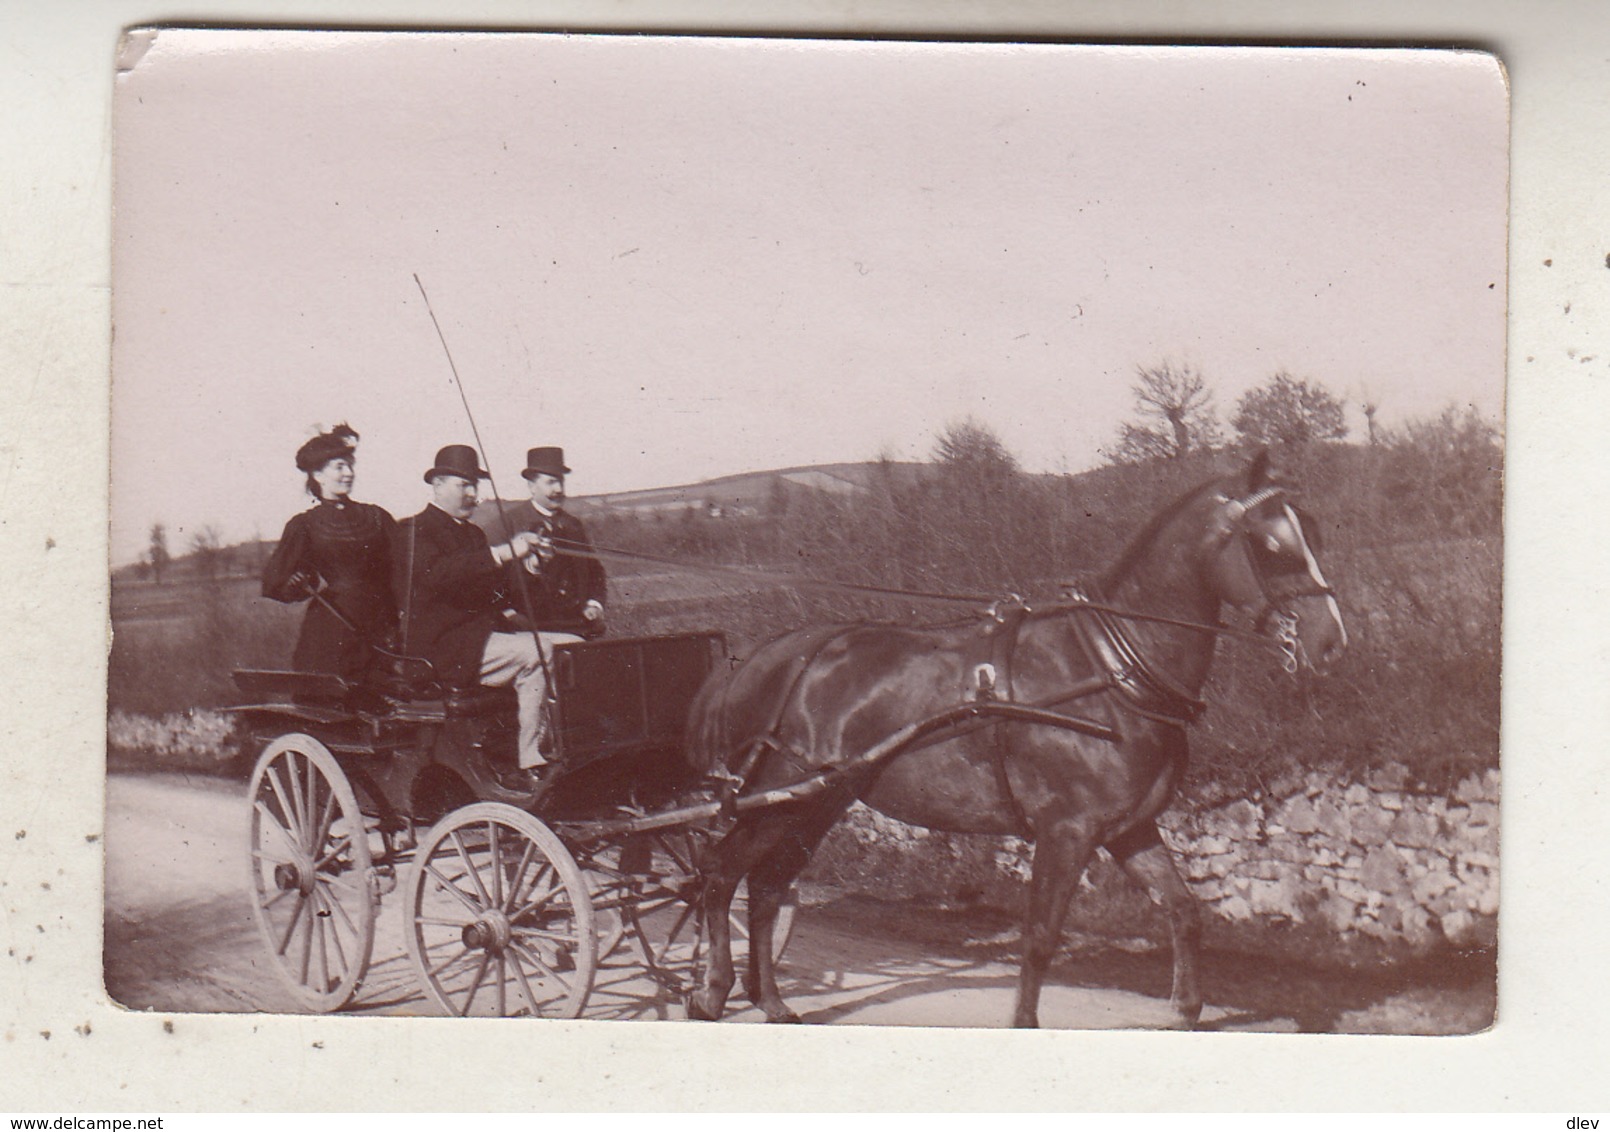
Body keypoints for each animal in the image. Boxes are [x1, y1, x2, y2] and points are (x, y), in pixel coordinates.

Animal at [679, 450, 1345, 1030]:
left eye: (1313, 530)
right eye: (1271, 545)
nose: (1331, 641)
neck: (1108, 669)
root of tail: (768, 654)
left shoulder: (1129, 828)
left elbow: (1183, 911)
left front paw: (1185, 1010)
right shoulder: (1065, 831)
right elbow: (1041, 937)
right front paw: (1024, 1022)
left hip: (818, 803)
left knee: (766, 889)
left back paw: (772, 1001)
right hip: (779, 798)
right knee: (720, 873)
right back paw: (712, 990)